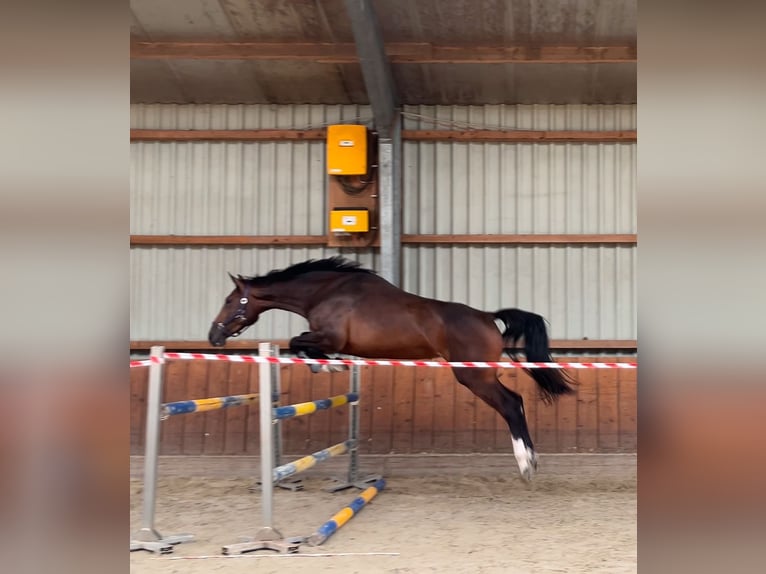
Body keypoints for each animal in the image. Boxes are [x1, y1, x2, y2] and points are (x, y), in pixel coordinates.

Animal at [208, 257, 574, 480]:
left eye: (230, 301)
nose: (213, 336)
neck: (326, 293)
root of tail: (487, 316)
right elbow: (302, 343)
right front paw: (329, 365)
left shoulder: (329, 336)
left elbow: (297, 340)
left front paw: (325, 367)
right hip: (479, 375)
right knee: (517, 403)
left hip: (474, 376)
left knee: (512, 404)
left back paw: (526, 463)